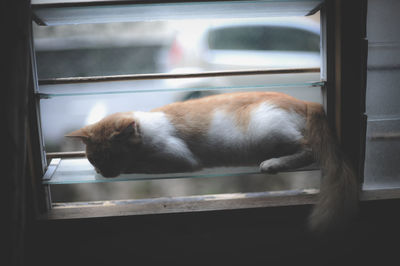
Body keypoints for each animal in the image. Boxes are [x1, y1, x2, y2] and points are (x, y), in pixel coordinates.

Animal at [66, 91, 360, 233]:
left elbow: (142, 163)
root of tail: (305, 102)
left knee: (310, 150)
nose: (103, 172)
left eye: (113, 157)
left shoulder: (178, 158)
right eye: (93, 158)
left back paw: (273, 164)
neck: (146, 127)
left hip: (266, 130)